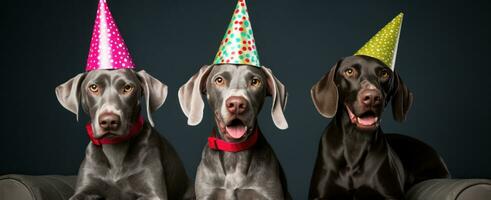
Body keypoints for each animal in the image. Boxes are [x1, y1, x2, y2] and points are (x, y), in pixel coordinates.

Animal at [56, 69, 194, 200]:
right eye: (94, 87)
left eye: (127, 88)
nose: (109, 121)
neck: (115, 150)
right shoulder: (84, 190)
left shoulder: (153, 193)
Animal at [178, 65, 290, 199]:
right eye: (219, 80)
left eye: (255, 81)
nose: (236, 104)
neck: (234, 153)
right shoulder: (207, 192)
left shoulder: (267, 193)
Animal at [310, 55, 452, 200]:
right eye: (349, 71)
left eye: (384, 74)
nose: (372, 97)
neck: (355, 140)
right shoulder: (320, 195)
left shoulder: (391, 194)